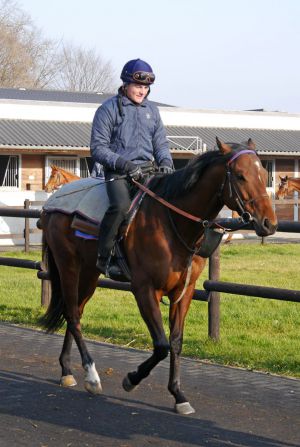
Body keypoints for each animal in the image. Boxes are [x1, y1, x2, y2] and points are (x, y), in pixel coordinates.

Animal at [38, 139, 278, 416]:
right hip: (69, 266)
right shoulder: (144, 290)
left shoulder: (183, 292)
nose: (269, 223)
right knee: (73, 316)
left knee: (73, 310)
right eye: (240, 175)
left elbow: (175, 341)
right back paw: (92, 377)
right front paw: (131, 379)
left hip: (89, 273)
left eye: (263, 173)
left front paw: (178, 395)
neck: (171, 223)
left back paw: (67, 370)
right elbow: (161, 345)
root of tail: (52, 203)